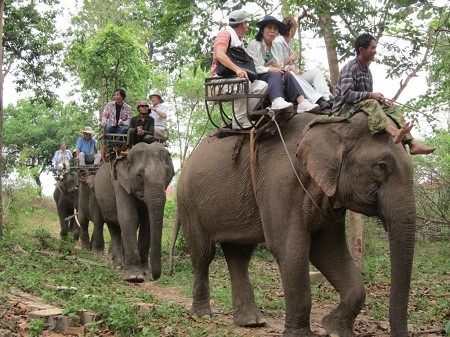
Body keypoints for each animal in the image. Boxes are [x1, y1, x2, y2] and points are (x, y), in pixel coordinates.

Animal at [95, 141, 174, 280]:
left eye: (167, 174)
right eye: (140, 176)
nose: (154, 277)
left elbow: (147, 222)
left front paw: (145, 271)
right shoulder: (120, 183)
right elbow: (128, 217)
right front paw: (134, 277)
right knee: (113, 226)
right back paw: (118, 266)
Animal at [177, 113, 418, 336]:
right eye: (380, 167)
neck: (334, 123)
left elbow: (329, 250)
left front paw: (334, 329)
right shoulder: (279, 183)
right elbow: (290, 248)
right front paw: (303, 334)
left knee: (239, 255)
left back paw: (251, 322)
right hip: (189, 202)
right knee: (203, 254)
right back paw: (202, 316)